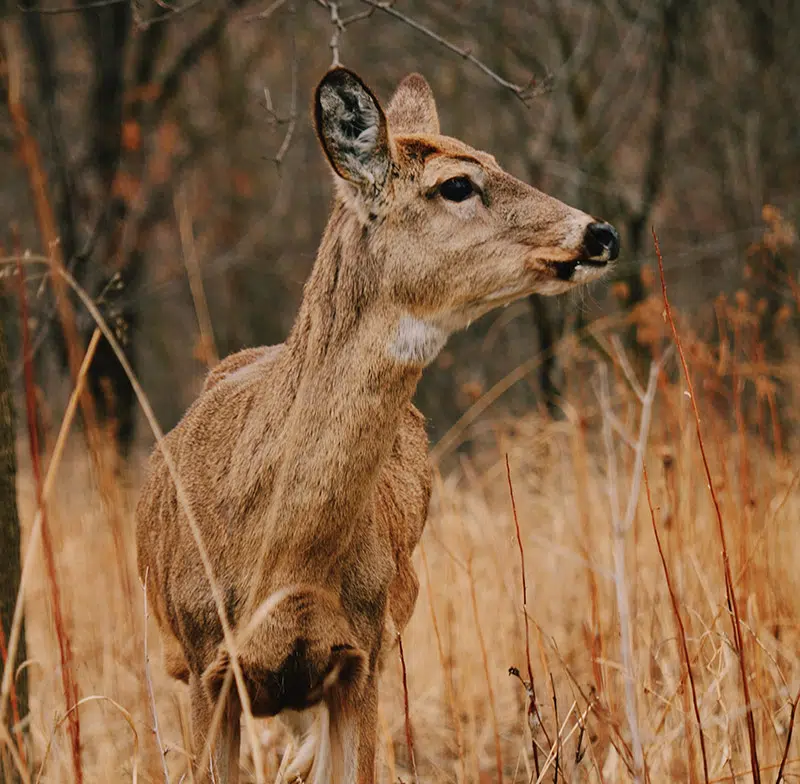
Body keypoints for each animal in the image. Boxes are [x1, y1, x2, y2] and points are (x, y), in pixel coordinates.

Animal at [136, 67, 620, 784]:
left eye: (495, 159)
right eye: (456, 184)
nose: (599, 233)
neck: (281, 560)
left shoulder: (359, 659)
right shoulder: (207, 667)